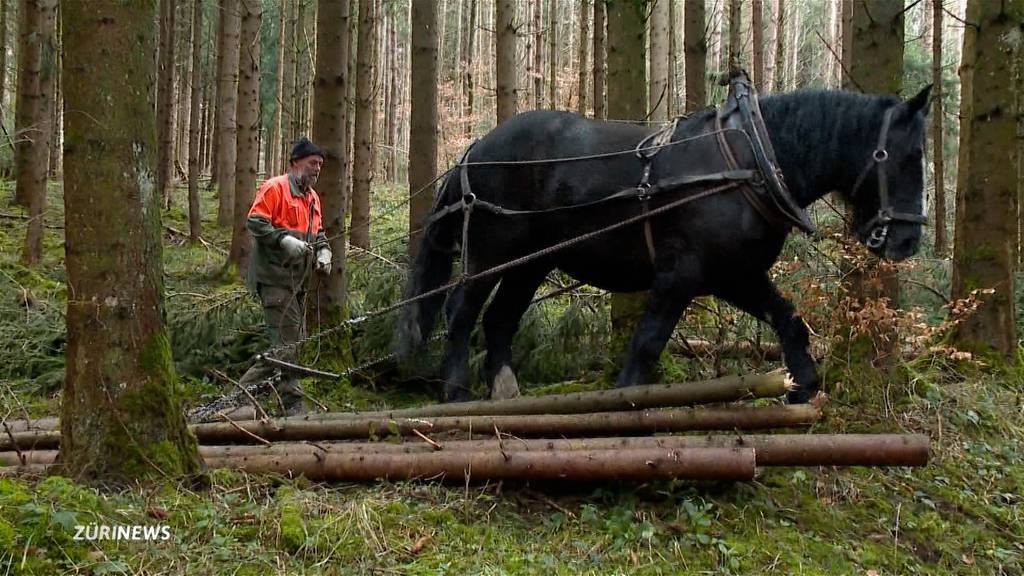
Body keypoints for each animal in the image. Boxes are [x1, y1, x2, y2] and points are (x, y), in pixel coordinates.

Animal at [395, 84, 933, 403]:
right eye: (908, 155)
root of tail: (476, 148)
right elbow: (648, 343)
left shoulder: (735, 275)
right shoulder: (681, 275)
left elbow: (789, 320)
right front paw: (624, 403)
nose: (907, 240)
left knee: (499, 318)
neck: (751, 162)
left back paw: (505, 393)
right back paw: (455, 393)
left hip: (533, 263)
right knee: (461, 312)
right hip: (493, 253)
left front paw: (801, 385)